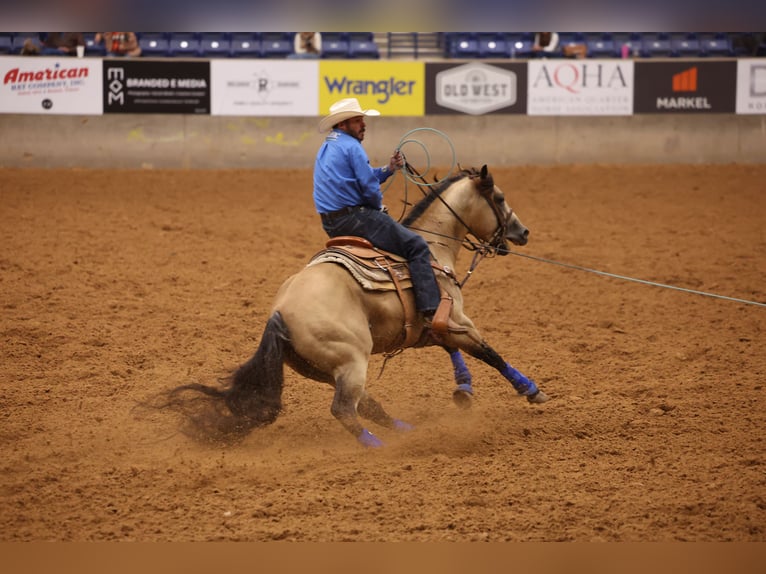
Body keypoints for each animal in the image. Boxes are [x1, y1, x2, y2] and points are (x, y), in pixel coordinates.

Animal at [168, 165, 549, 447]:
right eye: (499, 197)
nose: (524, 232)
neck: (432, 247)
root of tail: (280, 313)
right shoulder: (457, 319)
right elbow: (490, 353)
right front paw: (531, 390)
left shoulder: (434, 327)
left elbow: (454, 350)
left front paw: (464, 391)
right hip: (351, 359)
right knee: (344, 410)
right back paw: (381, 447)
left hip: (327, 369)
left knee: (366, 405)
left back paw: (405, 432)